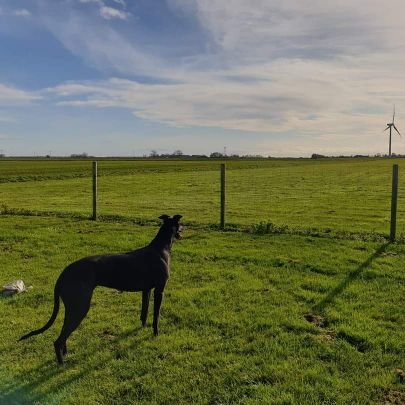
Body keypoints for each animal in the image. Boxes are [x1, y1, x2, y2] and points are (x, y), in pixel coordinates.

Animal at [19, 215, 183, 362]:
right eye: (180, 223)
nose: (184, 227)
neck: (160, 247)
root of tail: (63, 275)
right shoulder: (159, 290)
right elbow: (156, 315)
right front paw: (155, 333)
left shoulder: (146, 290)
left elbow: (144, 312)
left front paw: (142, 328)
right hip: (80, 307)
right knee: (58, 340)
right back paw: (62, 364)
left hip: (72, 307)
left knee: (64, 334)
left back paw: (66, 354)